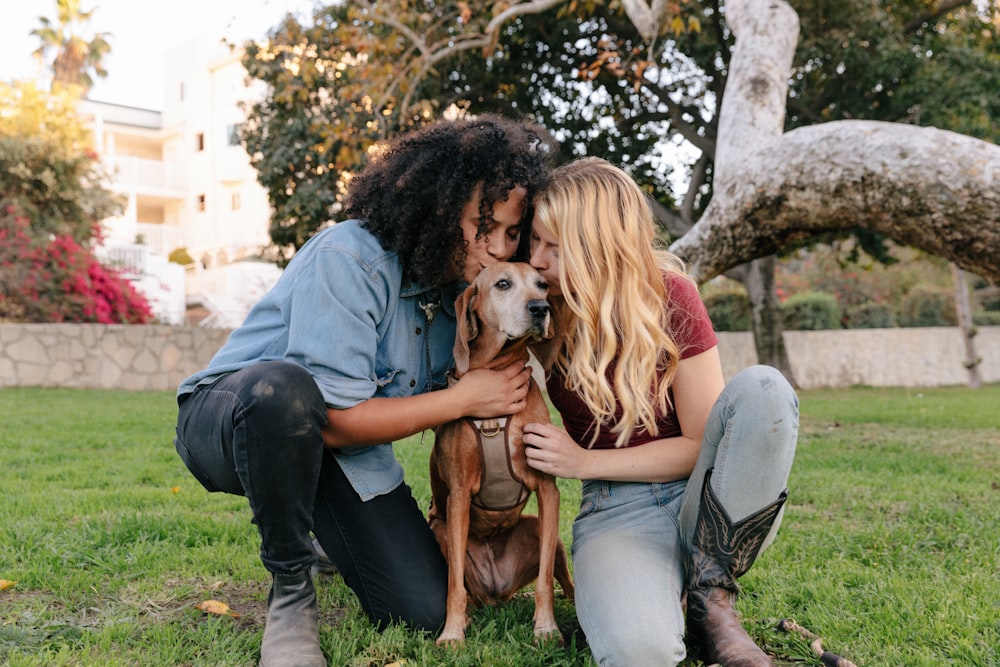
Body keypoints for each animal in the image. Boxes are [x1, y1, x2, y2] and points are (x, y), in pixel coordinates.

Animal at [426, 262, 576, 648]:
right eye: (503, 284)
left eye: (542, 285)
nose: (540, 308)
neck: (496, 369)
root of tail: (499, 593)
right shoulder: (459, 496)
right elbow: (453, 585)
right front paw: (451, 632)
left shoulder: (547, 489)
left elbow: (544, 581)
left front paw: (546, 628)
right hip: (441, 531)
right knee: (467, 590)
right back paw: (468, 616)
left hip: (544, 533)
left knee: (565, 584)